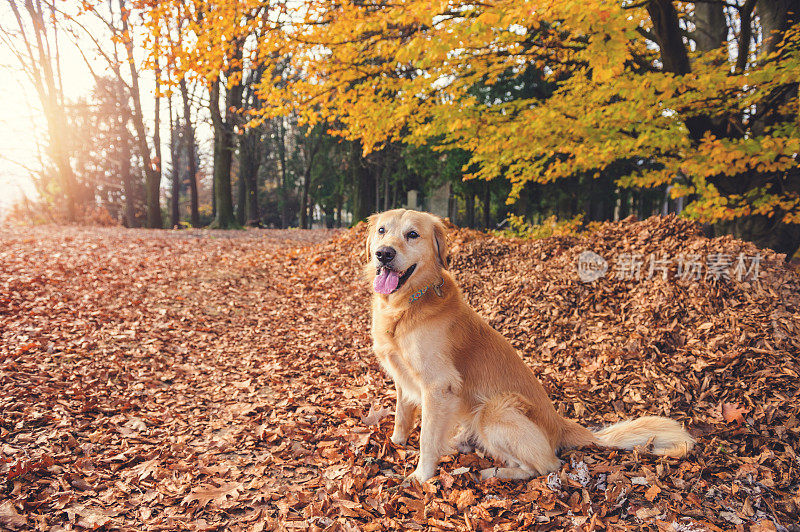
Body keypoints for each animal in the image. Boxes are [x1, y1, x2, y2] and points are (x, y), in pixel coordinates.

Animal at [364, 210, 692, 484]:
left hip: (494, 411)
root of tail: (561, 425)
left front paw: (420, 476)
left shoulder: (438, 385)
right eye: (382, 230)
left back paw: (494, 472)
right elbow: (402, 413)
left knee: (547, 465)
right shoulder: (402, 376)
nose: (384, 254)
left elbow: (428, 438)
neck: (406, 306)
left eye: (412, 234)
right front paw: (395, 442)